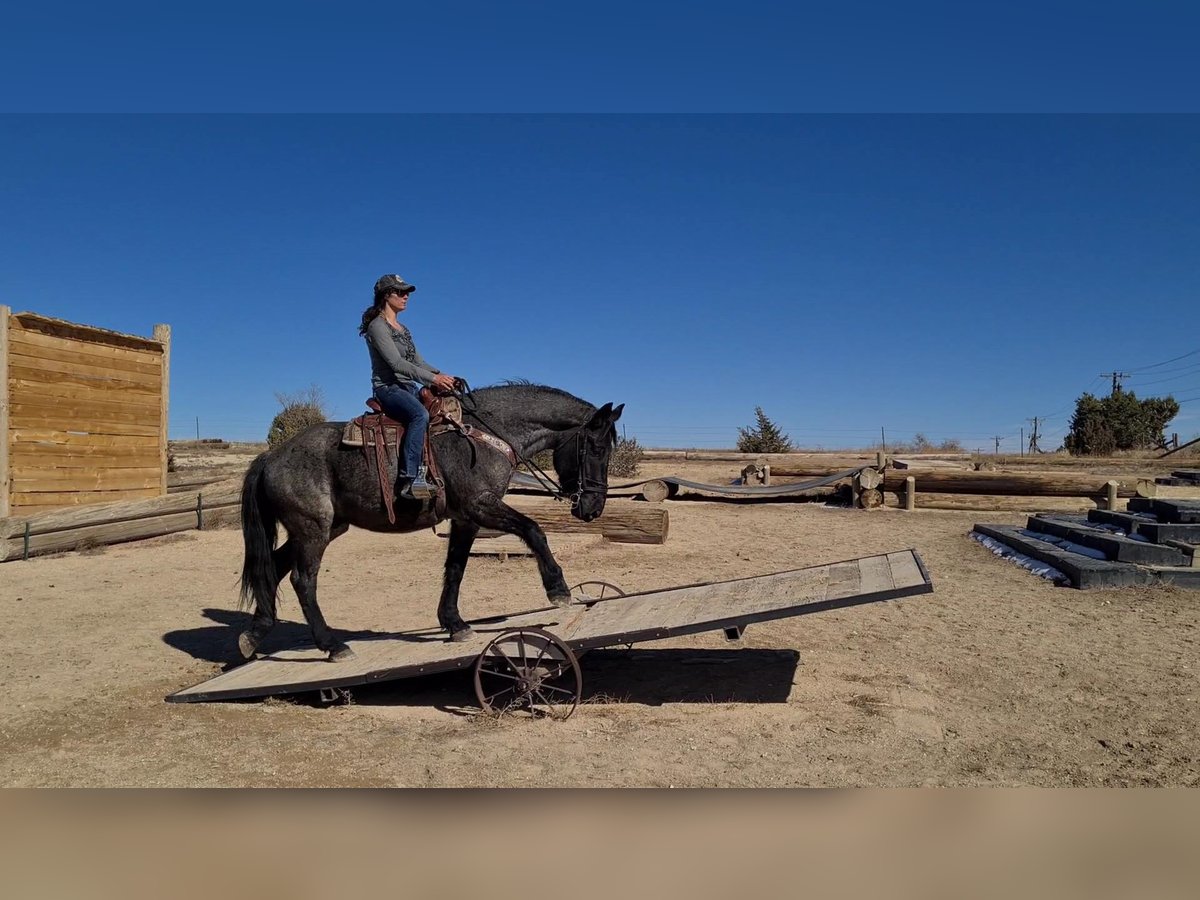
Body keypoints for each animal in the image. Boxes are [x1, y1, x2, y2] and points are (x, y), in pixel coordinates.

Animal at [237, 381, 624, 662]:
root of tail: (271, 457)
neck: (487, 435)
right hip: (312, 529)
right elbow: (534, 529)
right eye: (596, 448)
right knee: (303, 580)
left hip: (327, 528)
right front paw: (558, 589)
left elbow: (455, 568)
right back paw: (333, 645)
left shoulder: (466, 519)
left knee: (273, 568)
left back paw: (254, 635)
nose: (593, 507)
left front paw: (454, 623)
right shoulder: (481, 506)